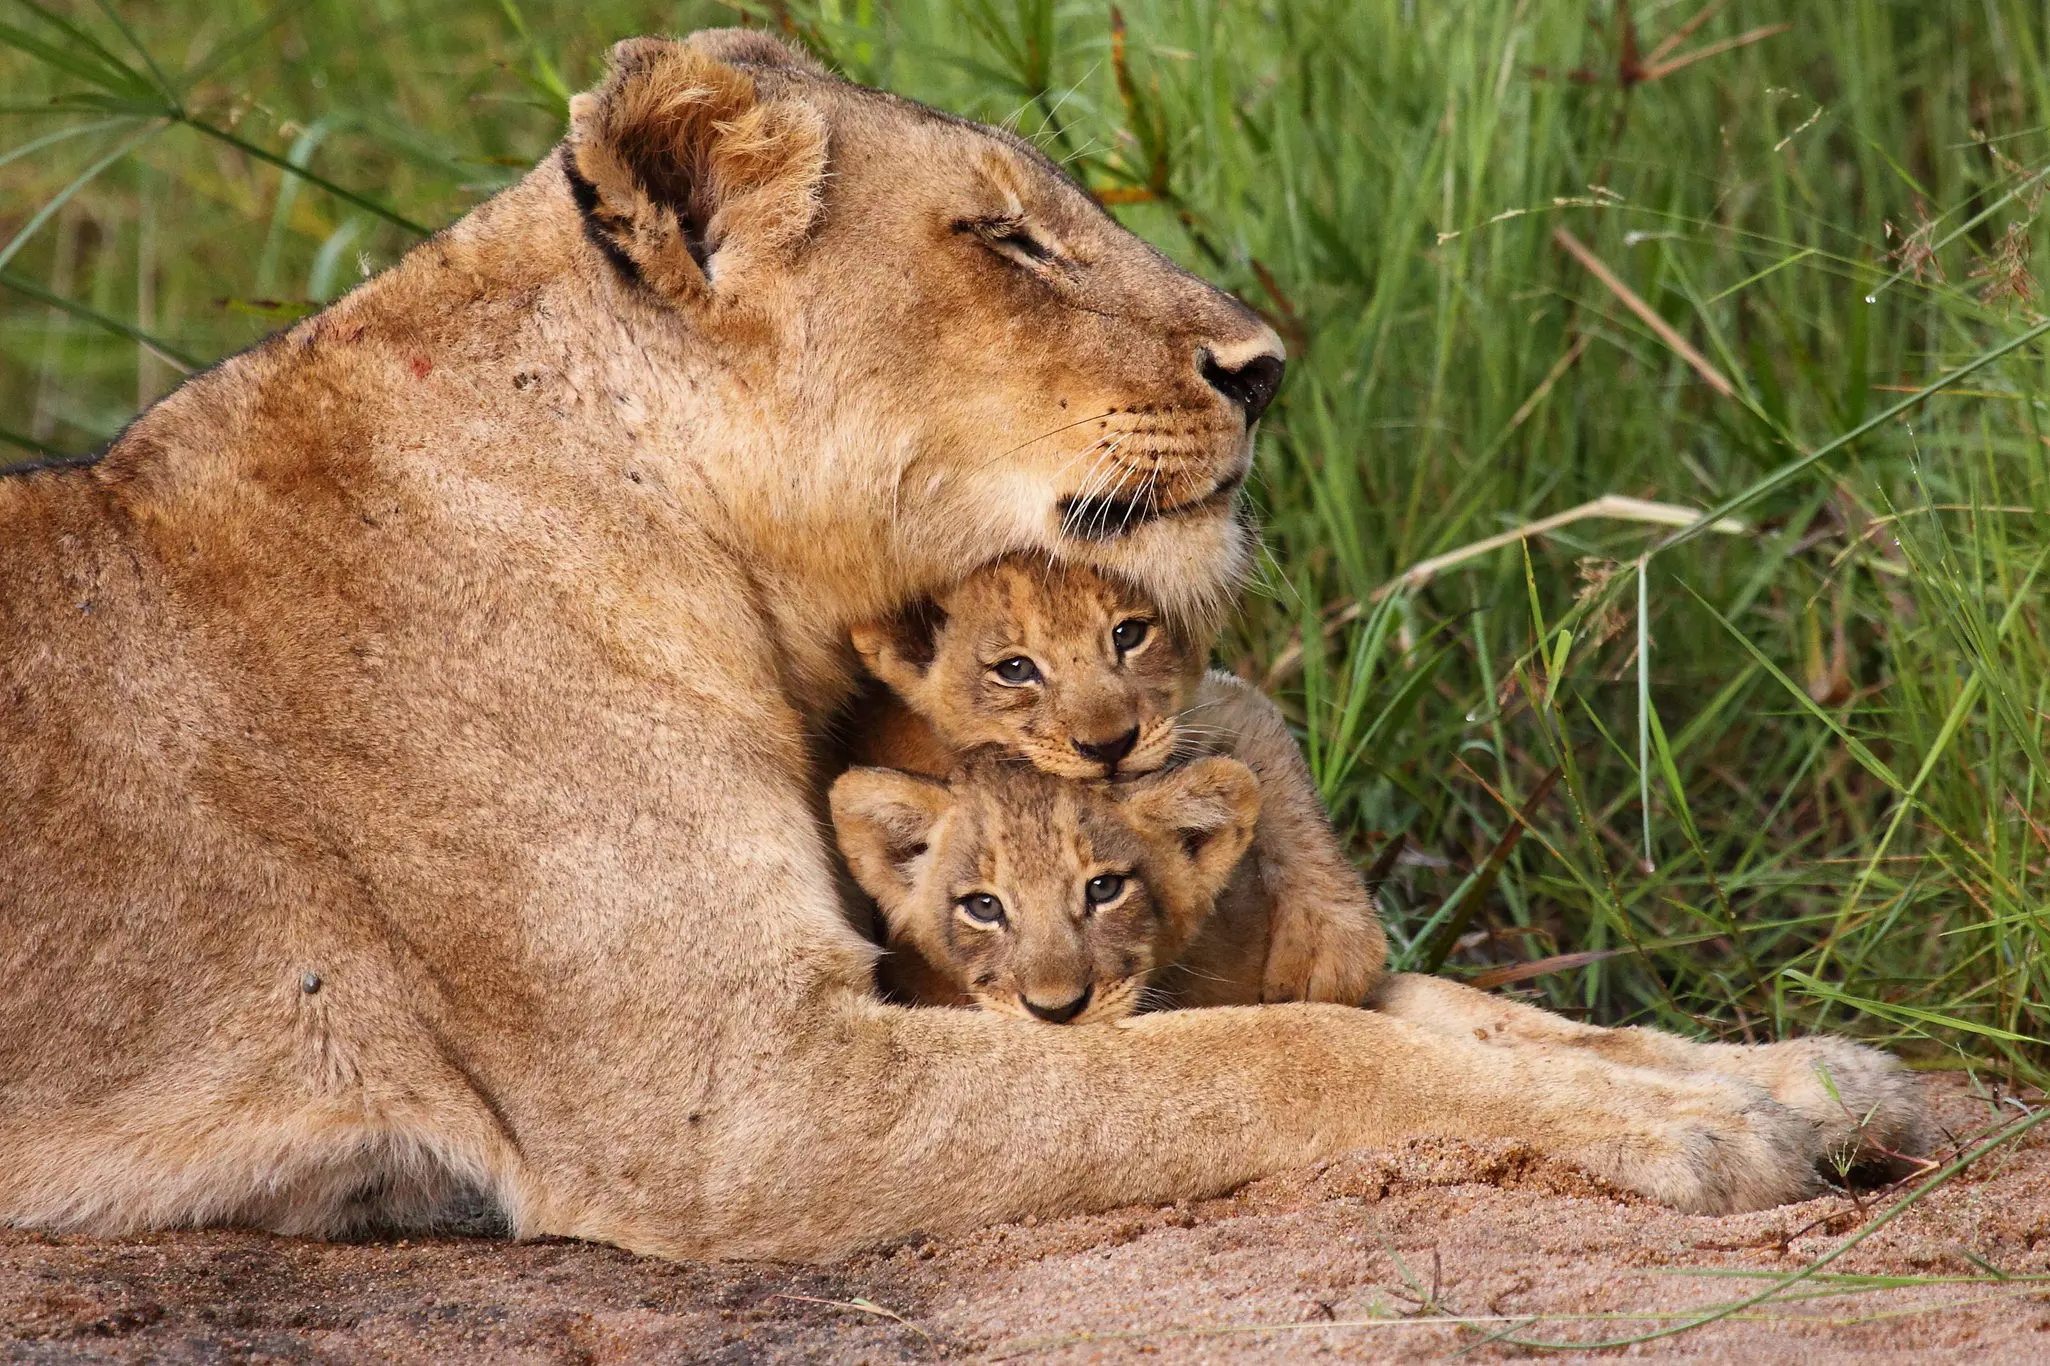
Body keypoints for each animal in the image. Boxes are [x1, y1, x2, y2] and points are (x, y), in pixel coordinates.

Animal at [845, 554, 1387, 1004]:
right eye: (1015, 669)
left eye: (1128, 635)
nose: (1110, 746)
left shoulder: (1203, 714)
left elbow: (1262, 738)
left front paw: (1331, 949)